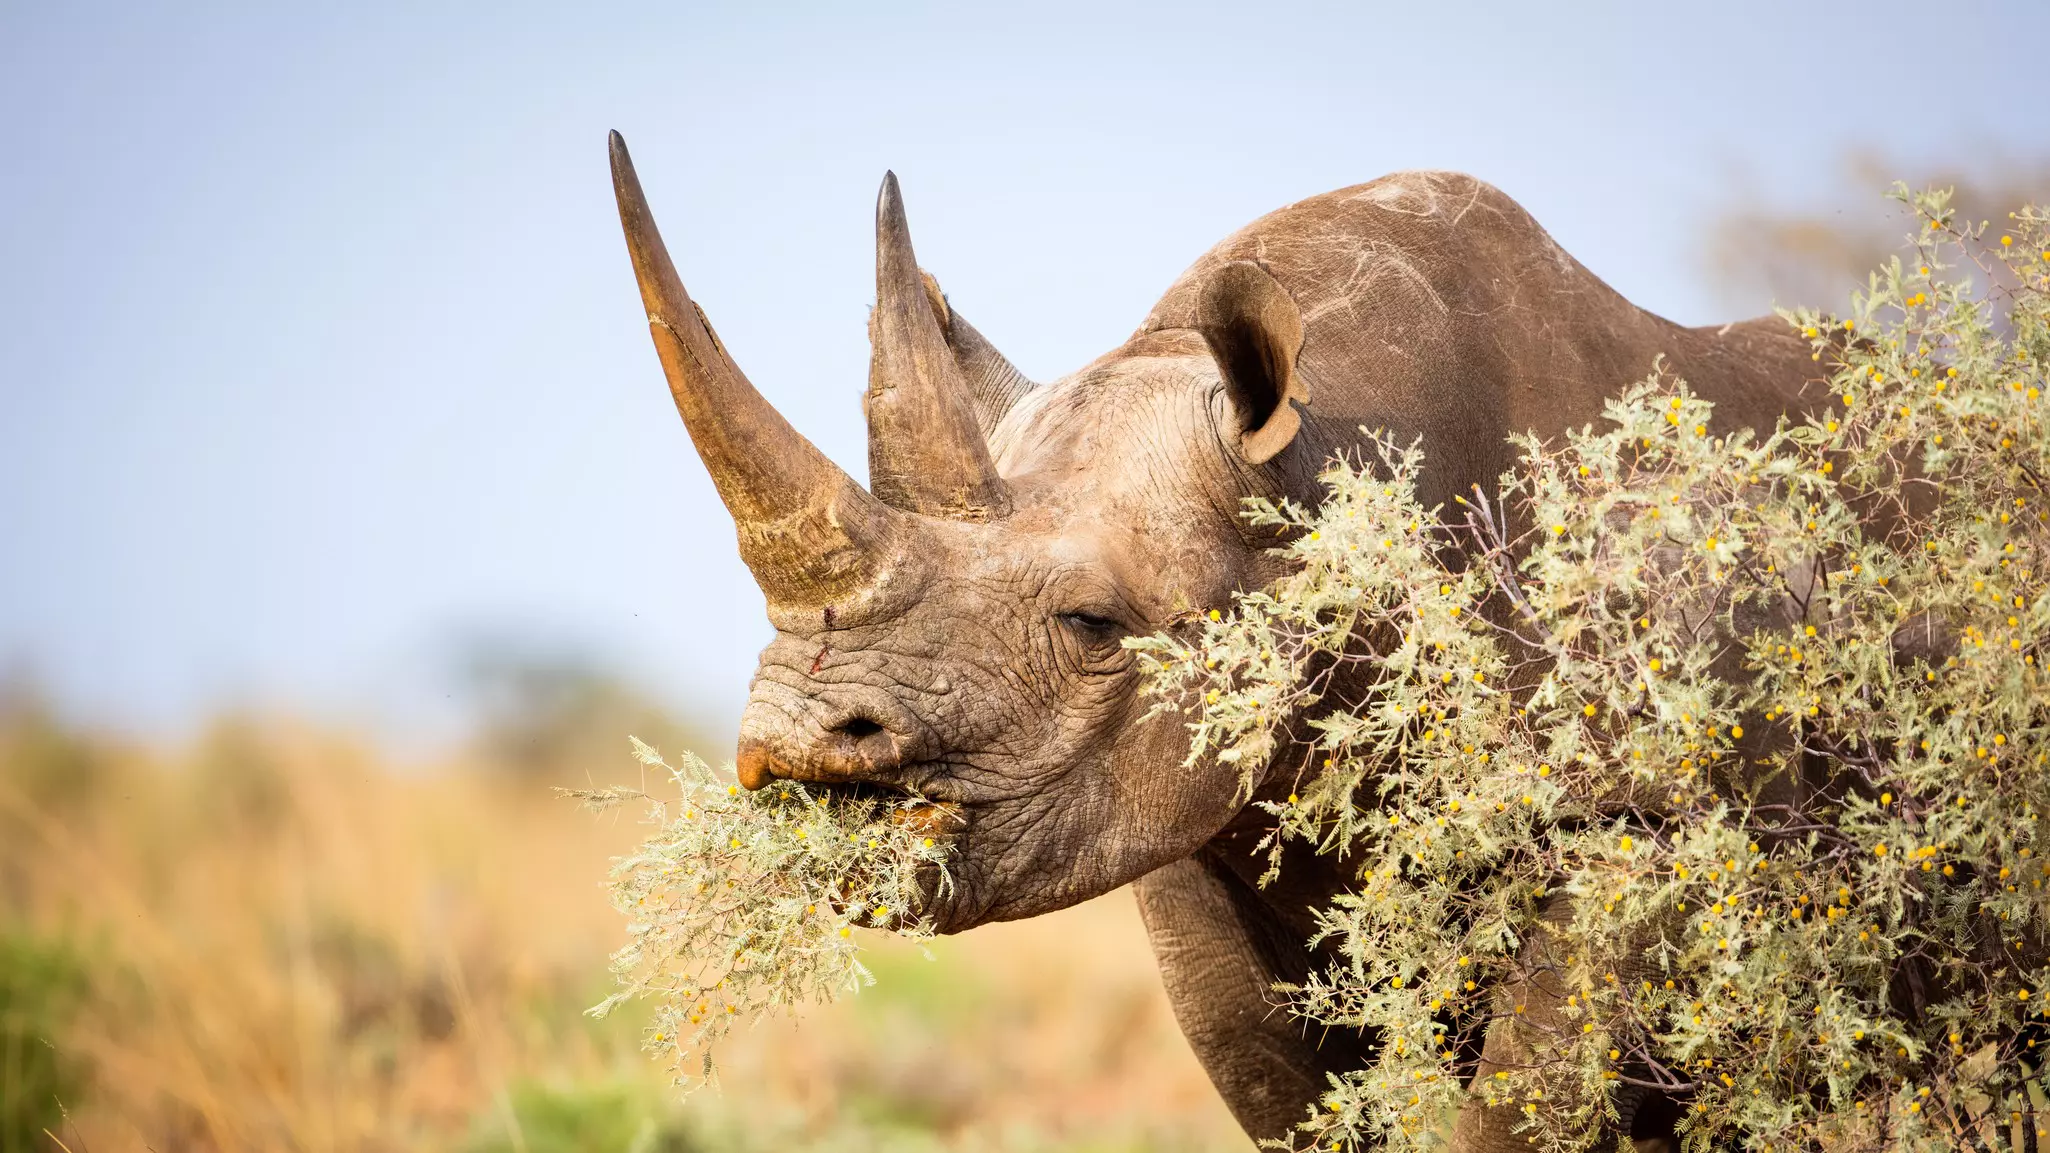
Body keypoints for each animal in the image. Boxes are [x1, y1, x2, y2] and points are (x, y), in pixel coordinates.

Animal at [604, 131, 1819, 1146]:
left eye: (1093, 625)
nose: (793, 736)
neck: (1324, 463)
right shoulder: (1191, 829)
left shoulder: (1646, 818)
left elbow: (1521, 1109)